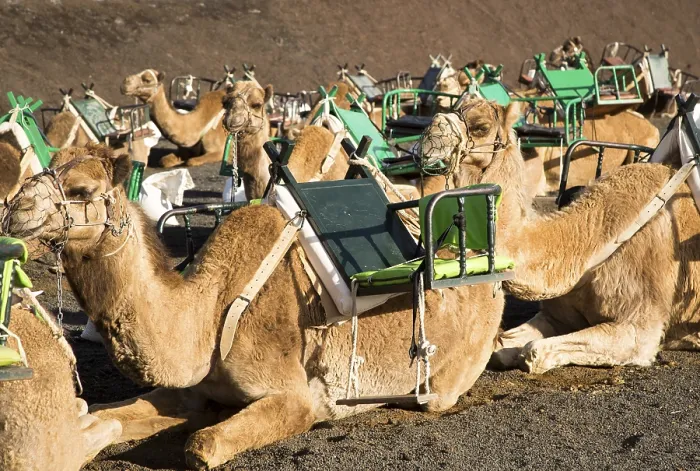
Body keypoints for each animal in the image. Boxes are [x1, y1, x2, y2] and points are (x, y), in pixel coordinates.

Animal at [419, 98, 700, 375]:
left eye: (481, 127)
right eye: (455, 106)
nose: (428, 139)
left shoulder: (640, 326)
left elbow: (533, 352)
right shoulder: (556, 315)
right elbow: (501, 348)